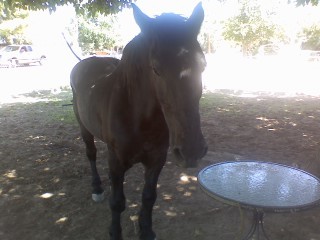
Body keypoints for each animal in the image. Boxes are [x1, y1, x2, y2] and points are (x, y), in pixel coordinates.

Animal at [70, 3, 208, 240]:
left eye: (203, 65)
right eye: (156, 69)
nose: (191, 150)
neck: (139, 119)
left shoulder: (156, 160)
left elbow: (149, 197)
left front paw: (147, 231)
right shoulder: (116, 162)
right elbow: (117, 203)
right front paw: (115, 232)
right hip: (84, 128)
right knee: (91, 154)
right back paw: (97, 188)